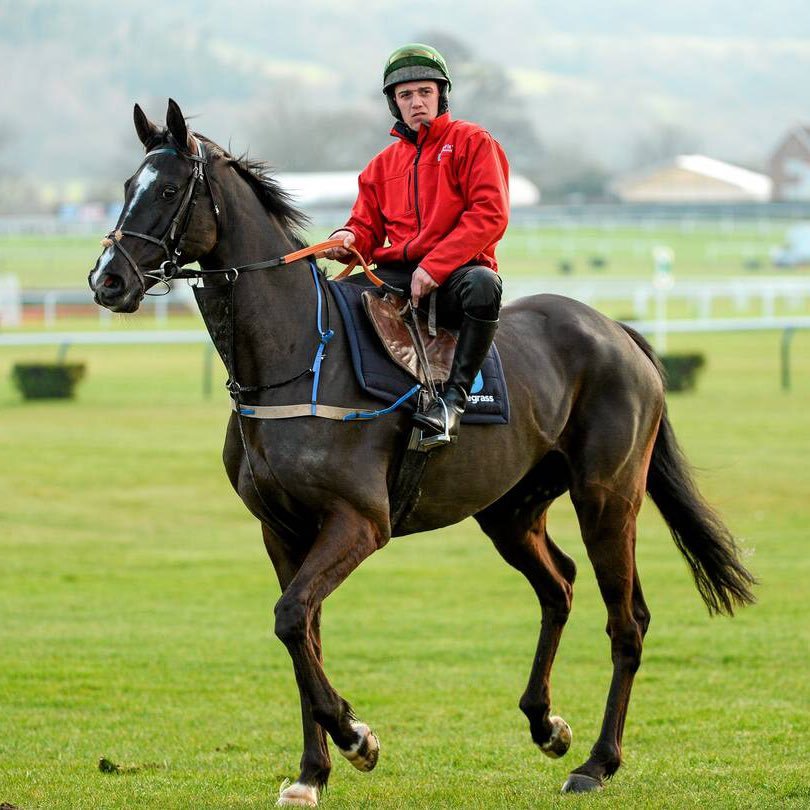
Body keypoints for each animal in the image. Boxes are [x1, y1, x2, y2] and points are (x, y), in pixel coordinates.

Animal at [88, 99, 752, 800]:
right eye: (127, 185)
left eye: (166, 190)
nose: (106, 280)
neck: (300, 357)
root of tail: (618, 332)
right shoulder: (281, 531)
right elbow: (302, 632)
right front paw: (312, 772)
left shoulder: (360, 522)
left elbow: (292, 617)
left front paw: (357, 737)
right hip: (511, 512)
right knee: (560, 588)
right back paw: (546, 724)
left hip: (608, 500)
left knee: (628, 622)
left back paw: (597, 762)